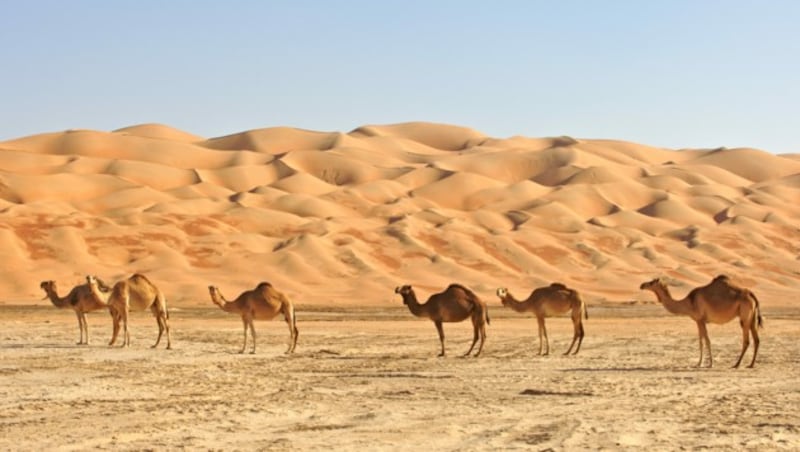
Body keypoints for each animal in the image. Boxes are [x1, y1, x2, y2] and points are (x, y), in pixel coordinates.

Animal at [636, 276, 764, 368]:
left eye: (652, 282)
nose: (642, 285)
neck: (688, 303)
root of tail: (751, 294)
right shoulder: (698, 321)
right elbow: (701, 341)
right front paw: (699, 363)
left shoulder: (701, 320)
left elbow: (706, 340)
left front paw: (710, 364)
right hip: (752, 317)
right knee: (757, 339)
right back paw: (751, 364)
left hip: (744, 317)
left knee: (746, 340)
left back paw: (736, 364)